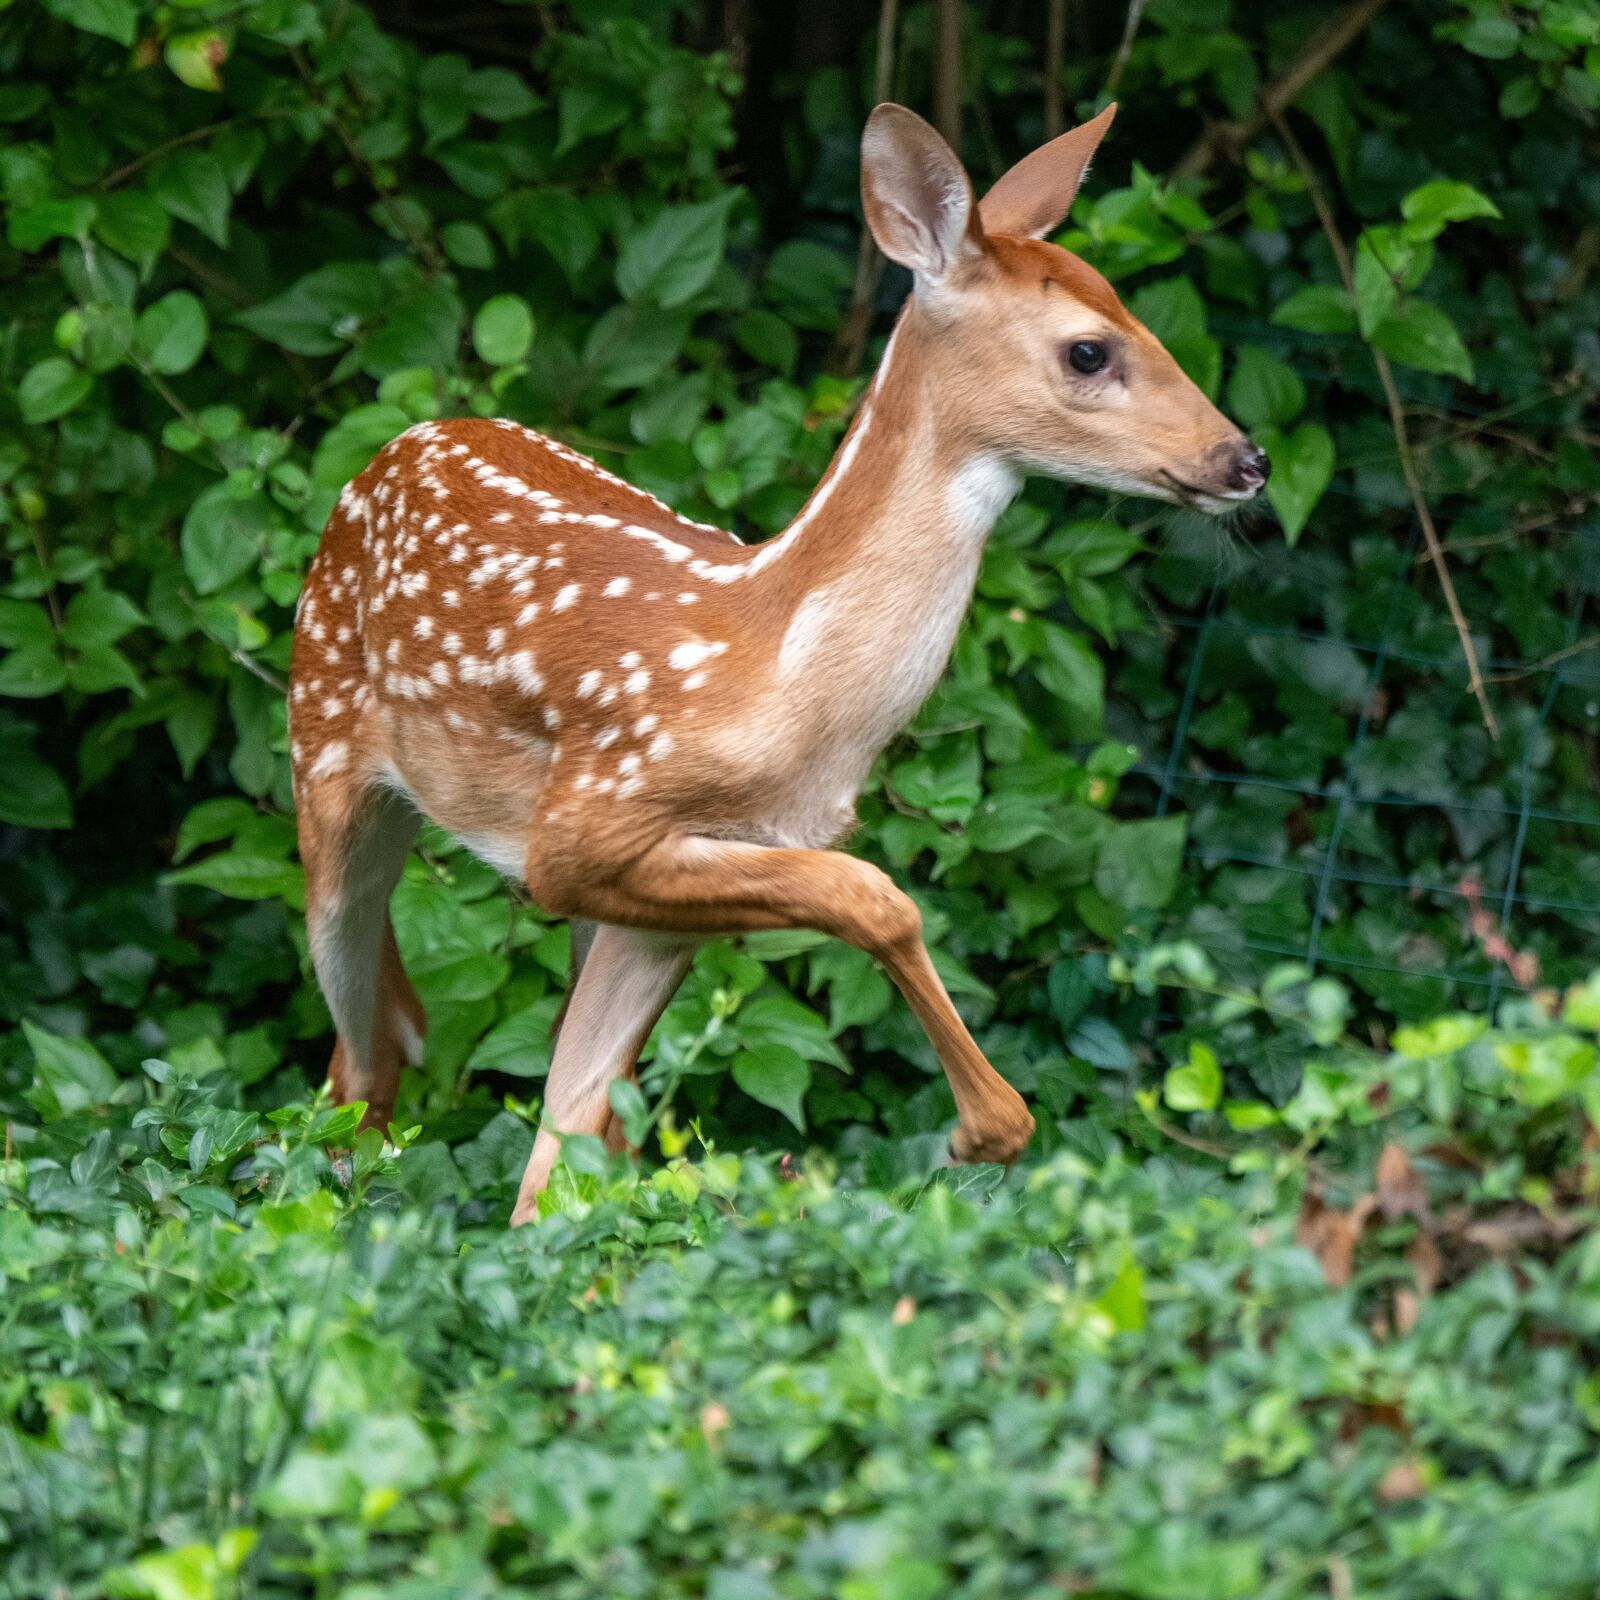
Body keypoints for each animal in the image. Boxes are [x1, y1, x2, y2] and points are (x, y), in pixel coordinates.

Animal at [288, 103, 1260, 1222]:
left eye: (1136, 315)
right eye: (1090, 350)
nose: (1244, 460)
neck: (784, 676)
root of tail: (392, 446)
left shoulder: (663, 903)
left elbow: (562, 1147)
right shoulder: (581, 831)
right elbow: (877, 896)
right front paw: (987, 1128)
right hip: (323, 761)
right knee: (360, 1046)